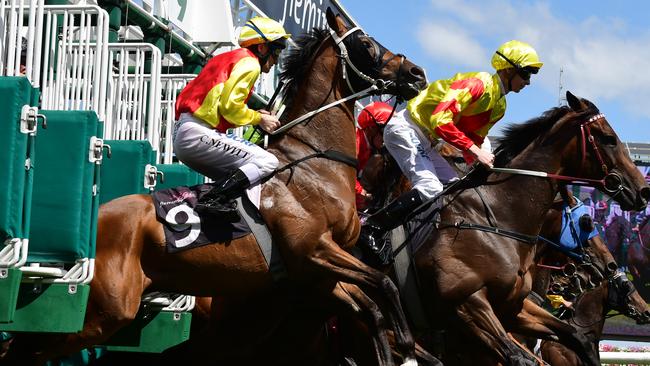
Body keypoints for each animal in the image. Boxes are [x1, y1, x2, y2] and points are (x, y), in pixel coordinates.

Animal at [2, 8, 428, 366]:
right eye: (367, 44)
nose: (417, 74)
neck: (314, 164)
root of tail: (99, 217)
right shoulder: (313, 251)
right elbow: (384, 286)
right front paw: (408, 347)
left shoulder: (316, 275)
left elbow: (372, 309)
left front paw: (401, 348)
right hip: (105, 311)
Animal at [412, 92, 644, 366]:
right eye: (609, 139)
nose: (643, 190)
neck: (497, 217)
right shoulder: (467, 304)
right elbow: (520, 357)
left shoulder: (512, 310)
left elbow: (574, 338)